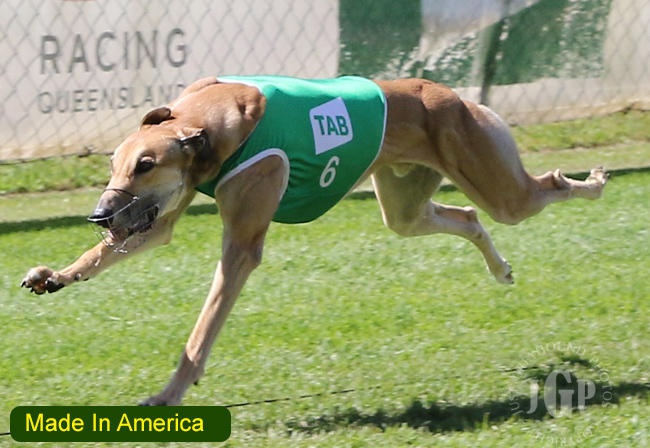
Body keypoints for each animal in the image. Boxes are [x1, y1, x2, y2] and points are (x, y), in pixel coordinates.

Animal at [21, 76, 608, 406]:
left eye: (146, 165)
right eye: (114, 165)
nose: (100, 214)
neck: (209, 123)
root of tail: (453, 94)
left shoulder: (241, 244)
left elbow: (201, 332)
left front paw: (169, 394)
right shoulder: (158, 218)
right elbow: (116, 249)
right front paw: (54, 275)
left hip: (498, 185)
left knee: (544, 188)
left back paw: (595, 182)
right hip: (405, 206)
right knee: (465, 216)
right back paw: (500, 268)